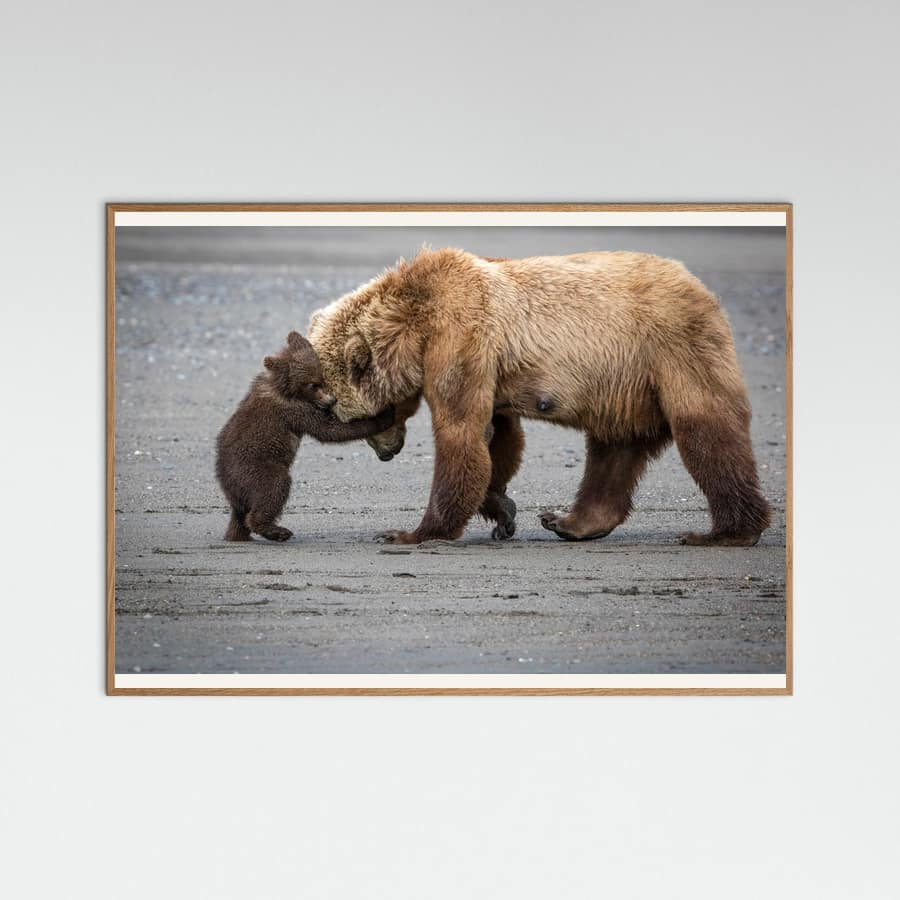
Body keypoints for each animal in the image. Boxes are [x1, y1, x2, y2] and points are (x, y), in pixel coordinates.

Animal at [215, 331, 394, 542]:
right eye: (312, 385)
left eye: (322, 378)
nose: (331, 400)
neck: (285, 388)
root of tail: (228, 487)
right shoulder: (294, 410)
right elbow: (329, 430)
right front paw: (384, 415)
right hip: (254, 469)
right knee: (274, 487)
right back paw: (277, 531)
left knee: (240, 517)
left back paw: (239, 535)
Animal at [307, 248, 771, 547]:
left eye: (349, 416)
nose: (387, 453)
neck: (414, 322)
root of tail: (700, 287)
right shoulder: (487, 362)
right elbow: (497, 438)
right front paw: (503, 510)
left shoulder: (461, 336)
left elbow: (461, 432)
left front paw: (411, 532)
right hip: (625, 386)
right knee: (614, 449)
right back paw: (570, 522)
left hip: (671, 349)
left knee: (706, 430)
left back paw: (726, 532)